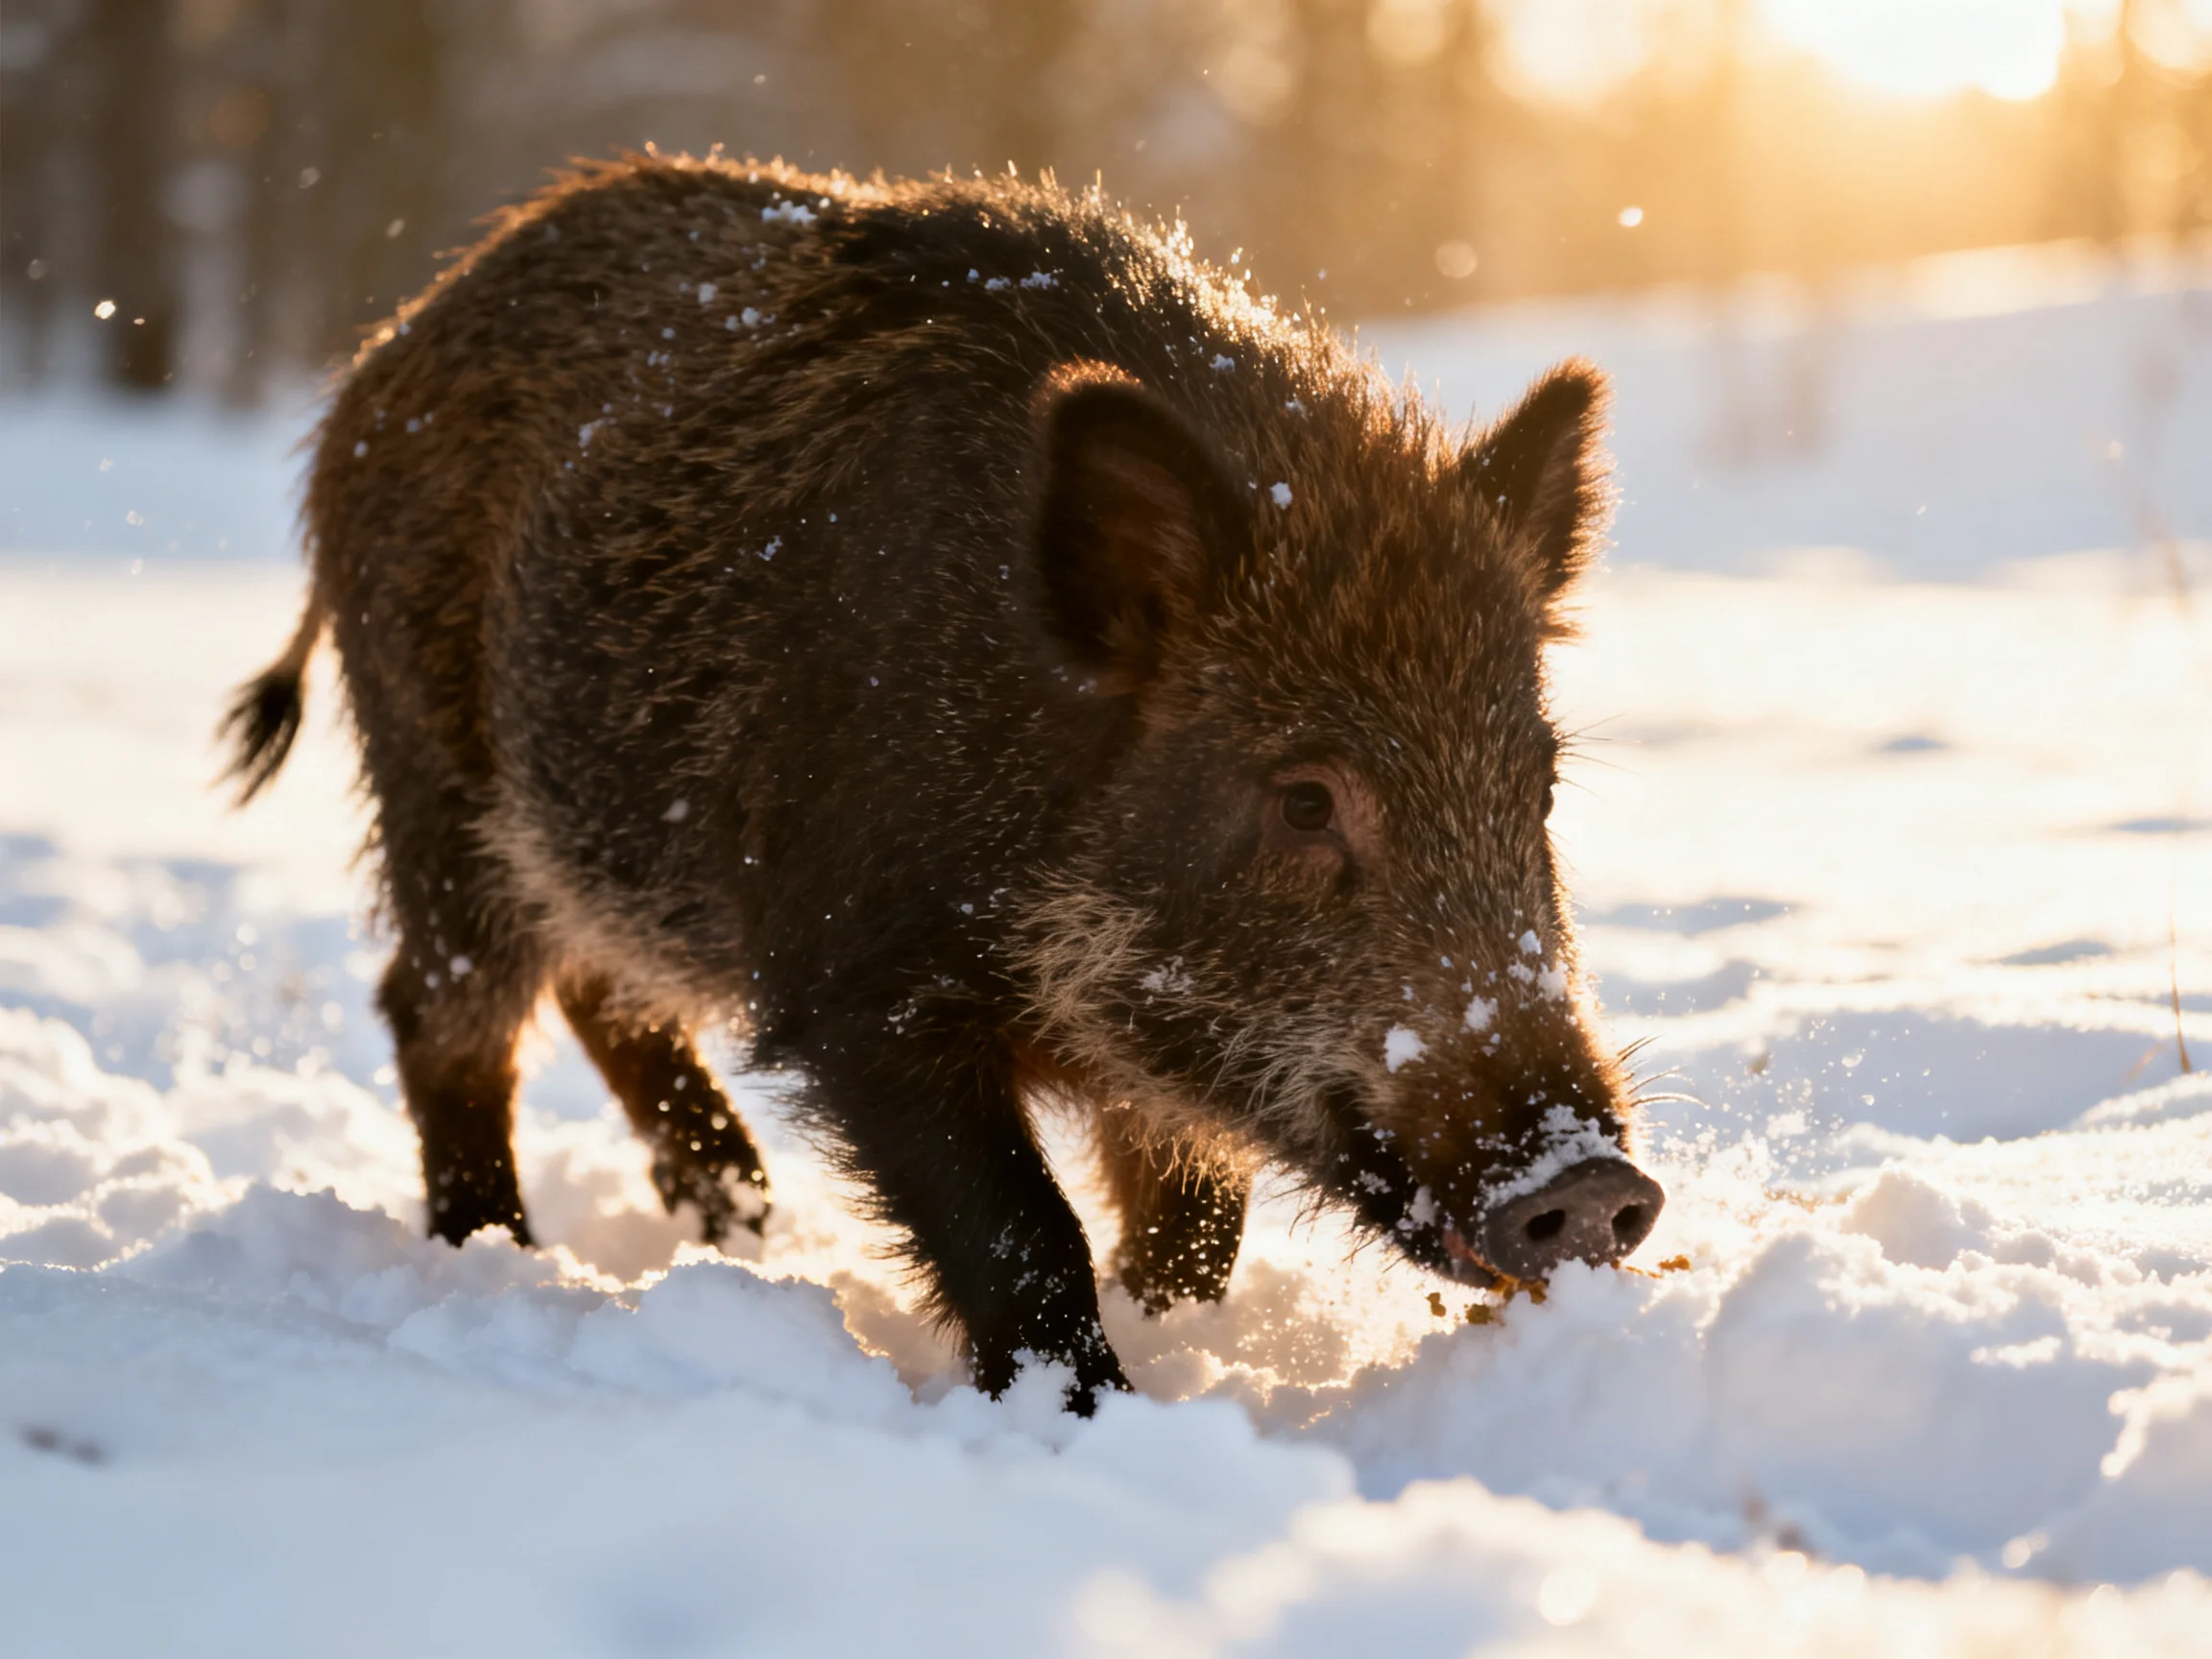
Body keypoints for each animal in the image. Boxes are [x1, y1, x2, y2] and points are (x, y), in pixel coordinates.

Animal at [223, 154, 1663, 1411]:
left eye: (1538, 788)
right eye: (1305, 797)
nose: (1597, 1184)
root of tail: (378, 364)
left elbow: (1195, 1223)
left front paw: (1167, 1334)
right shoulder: (861, 983)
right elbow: (1021, 1227)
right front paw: (1088, 1415)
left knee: (599, 990)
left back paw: (742, 1224)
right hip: (429, 771)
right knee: (441, 1010)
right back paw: (499, 1254)